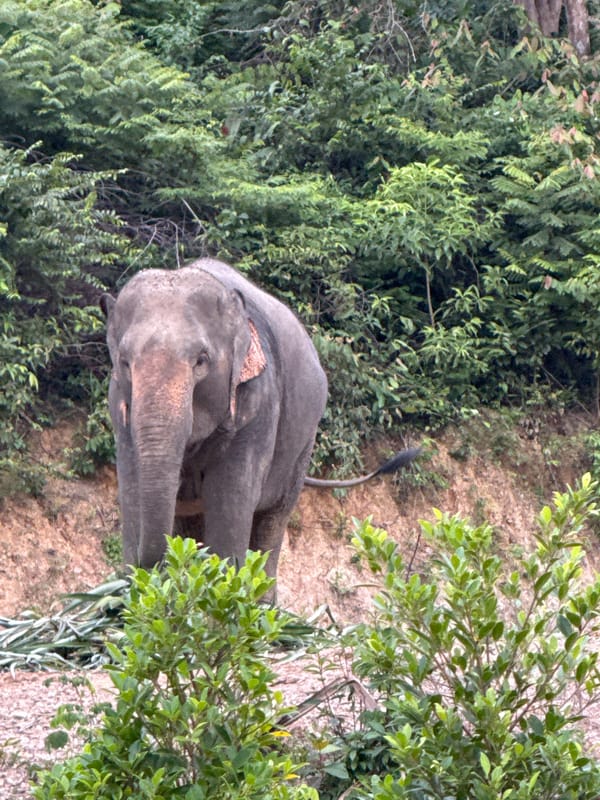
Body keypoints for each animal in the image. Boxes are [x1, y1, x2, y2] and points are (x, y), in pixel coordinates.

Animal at [101, 258, 418, 590]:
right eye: (124, 362)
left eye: (201, 360)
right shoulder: (119, 409)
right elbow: (132, 492)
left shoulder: (258, 405)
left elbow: (230, 504)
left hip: (302, 447)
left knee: (271, 522)